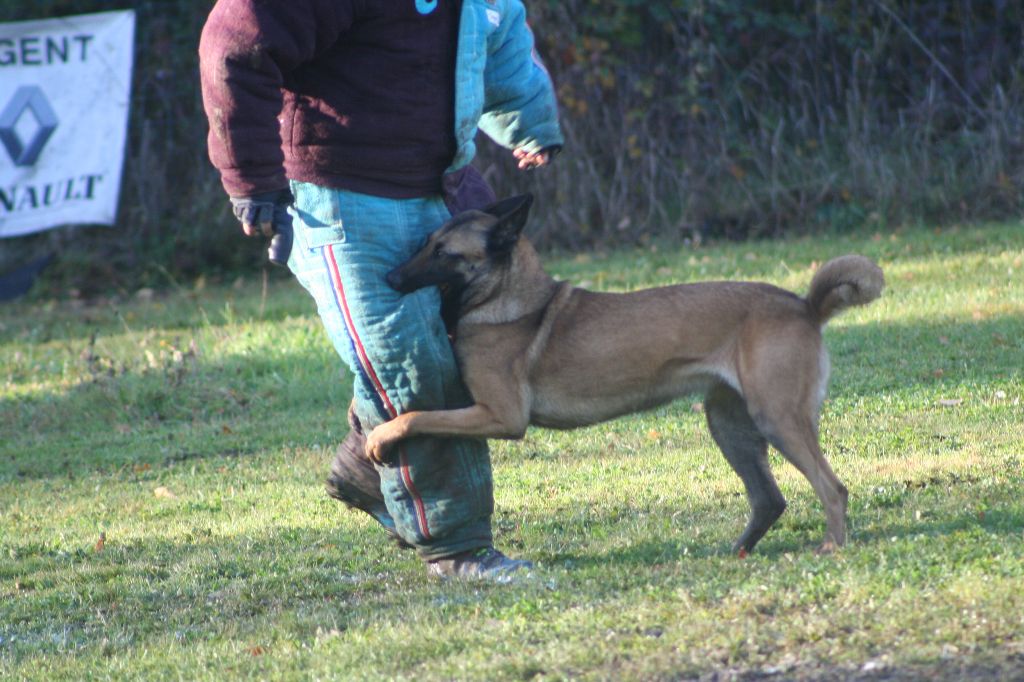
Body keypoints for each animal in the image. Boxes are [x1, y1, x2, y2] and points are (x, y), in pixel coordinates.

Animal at [364, 192, 884, 552]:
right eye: (424, 243)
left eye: (444, 253)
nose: (390, 278)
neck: (508, 298)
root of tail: (805, 306)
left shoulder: (499, 416)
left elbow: (417, 416)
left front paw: (381, 437)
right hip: (730, 425)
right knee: (770, 500)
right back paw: (737, 551)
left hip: (777, 418)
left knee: (832, 488)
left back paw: (832, 547)